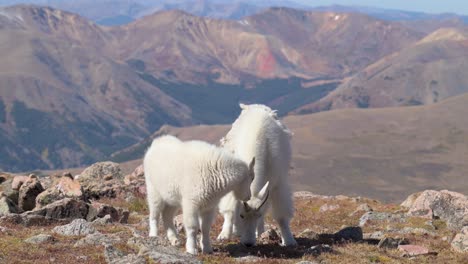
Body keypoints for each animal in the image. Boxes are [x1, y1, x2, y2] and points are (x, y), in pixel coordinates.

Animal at [218, 103, 298, 248]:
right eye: (242, 215)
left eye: (258, 215)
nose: (248, 243)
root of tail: (255, 106)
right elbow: (230, 208)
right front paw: (225, 234)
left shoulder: (277, 183)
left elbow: (281, 215)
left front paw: (289, 241)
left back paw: (259, 232)